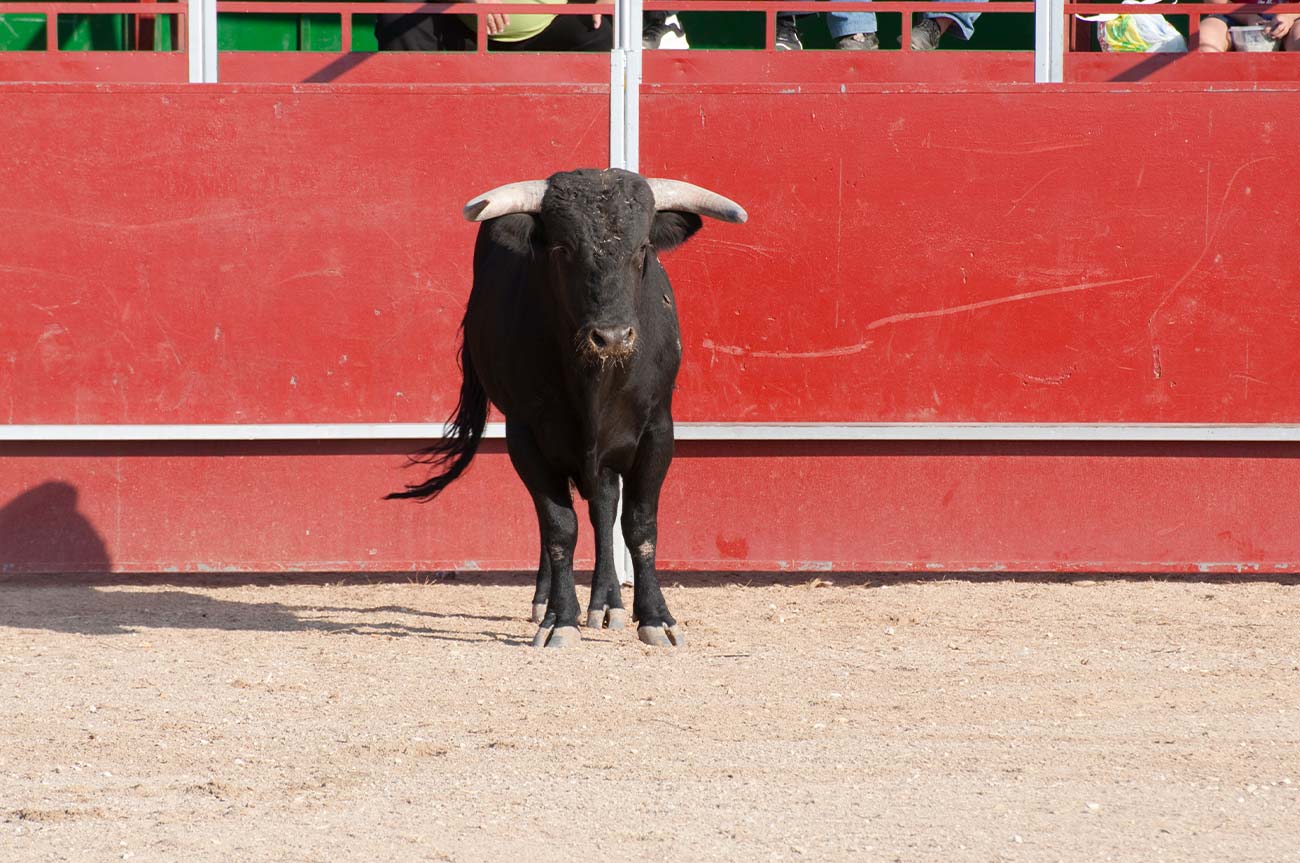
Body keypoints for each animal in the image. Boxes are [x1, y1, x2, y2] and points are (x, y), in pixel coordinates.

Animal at [384, 170, 748, 647]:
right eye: (561, 249)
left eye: (643, 248)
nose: (612, 336)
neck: (594, 382)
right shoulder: (526, 437)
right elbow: (559, 527)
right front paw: (561, 619)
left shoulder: (657, 431)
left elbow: (640, 525)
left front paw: (656, 618)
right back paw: (553, 602)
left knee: (604, 507)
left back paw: (608, 603)